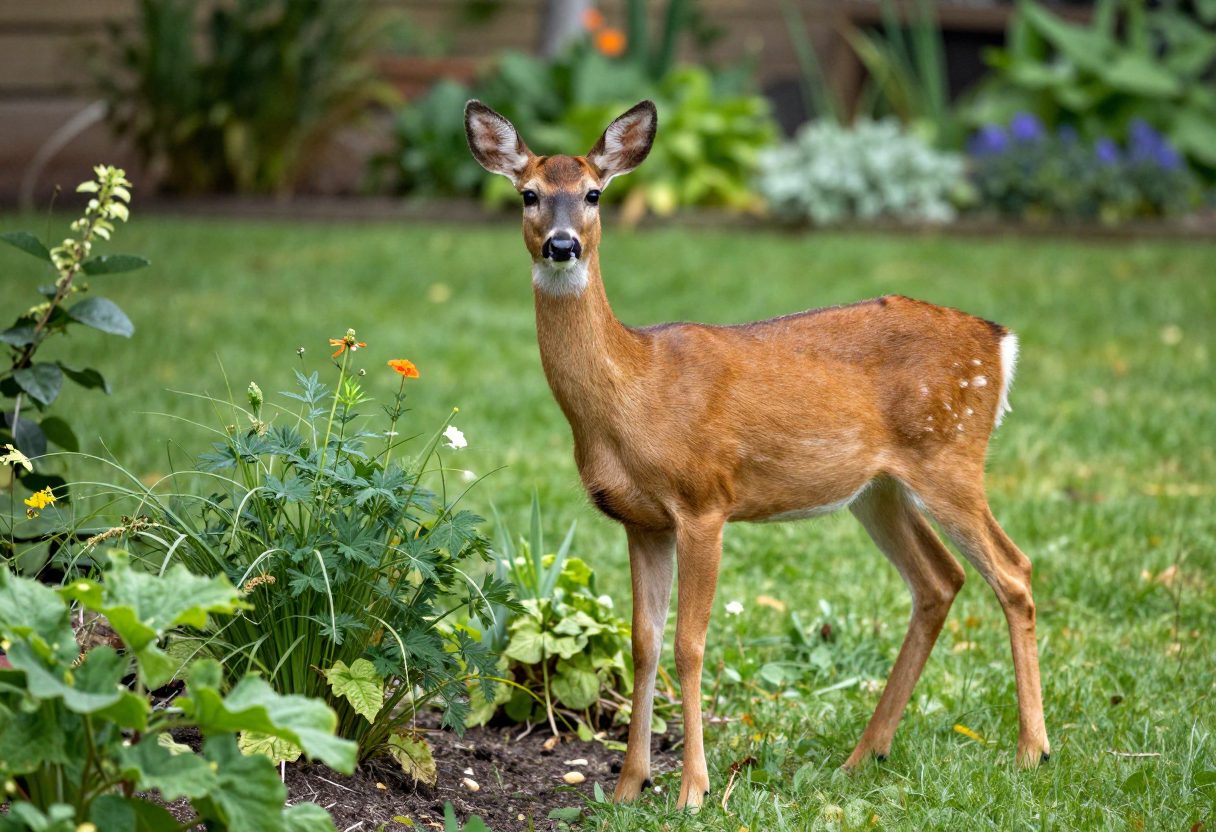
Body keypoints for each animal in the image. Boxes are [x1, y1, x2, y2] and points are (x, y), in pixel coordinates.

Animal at [465, 98, 1049, 810]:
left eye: (594, 194)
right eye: (528, 194)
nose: (561, 244)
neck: (631, 392)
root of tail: (1000, 342)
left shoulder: (703, 501)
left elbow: (689, 644)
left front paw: (692, 789)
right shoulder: (641, 520)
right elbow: (643, 643)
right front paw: (630, 785)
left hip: (950, 451)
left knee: (1014, 571)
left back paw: (1031, 751)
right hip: (879, 488)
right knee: (940, 579)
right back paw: (863, 756)